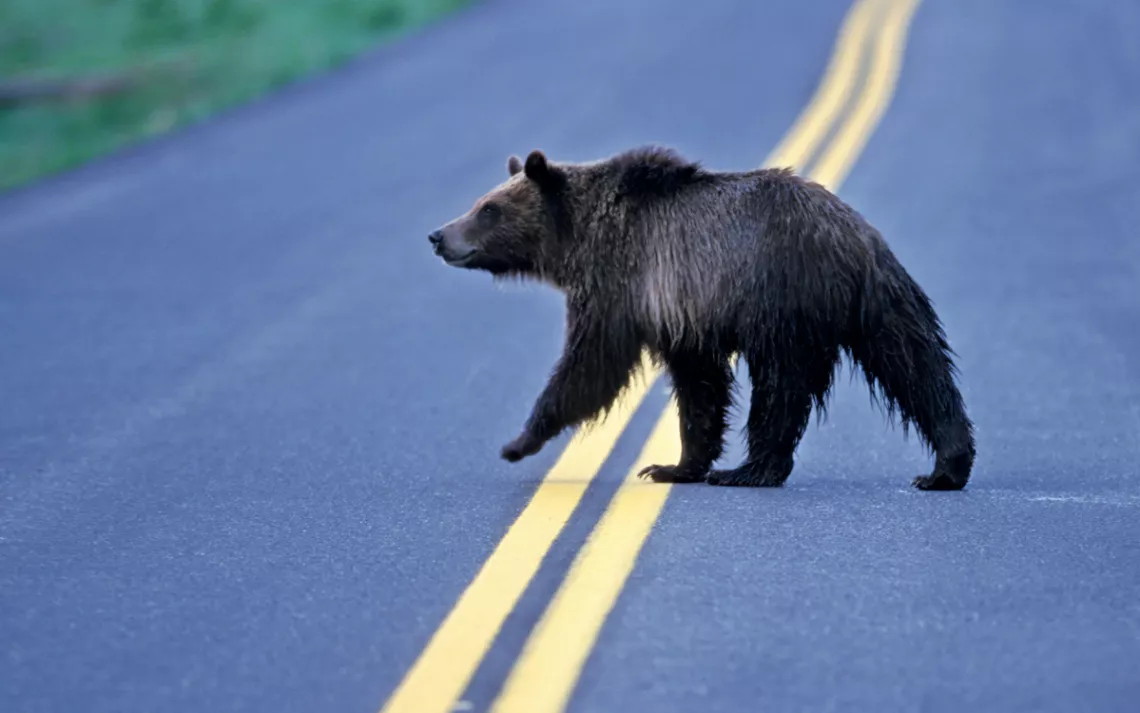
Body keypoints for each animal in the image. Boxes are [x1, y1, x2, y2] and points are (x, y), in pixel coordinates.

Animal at [427, 145, 976, 491]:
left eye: (489, 207)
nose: (439, 235)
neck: (575, 240)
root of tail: (850, 237)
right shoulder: (680, 313)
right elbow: (700, 386)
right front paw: (675, 464)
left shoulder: (620, 281)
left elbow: (591, 364)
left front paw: (519, 440)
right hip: (880, 300)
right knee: (917, 366)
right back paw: (946, 467)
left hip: (781, 298)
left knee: (781, 387)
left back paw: (750, 469)